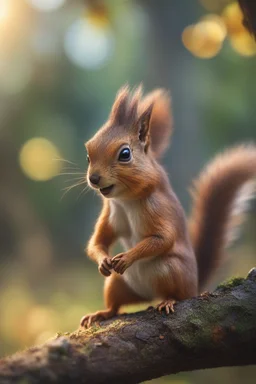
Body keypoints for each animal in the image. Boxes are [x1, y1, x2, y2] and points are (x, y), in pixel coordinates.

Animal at [80, 84, 256, 328]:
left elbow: (163, 238)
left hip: (170, 270)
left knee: (176, 293)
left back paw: (168, 301)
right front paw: (103, 261)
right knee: (115, 305)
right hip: (117, 283)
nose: (94, 178)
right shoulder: (110, 212)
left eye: (125, 154)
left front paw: (126, 258)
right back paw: (101, 313)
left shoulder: (157, 206)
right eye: (88, 155)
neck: (125, 200)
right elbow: (97, 241)